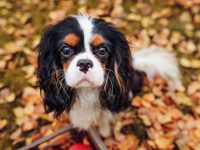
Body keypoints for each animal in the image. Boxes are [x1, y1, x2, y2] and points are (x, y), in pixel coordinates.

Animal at [38, 14, 181, 137]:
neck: (86, 91)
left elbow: (105, 119)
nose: (84, 63)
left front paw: (104, 132)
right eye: (66, 50)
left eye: (102, 50)